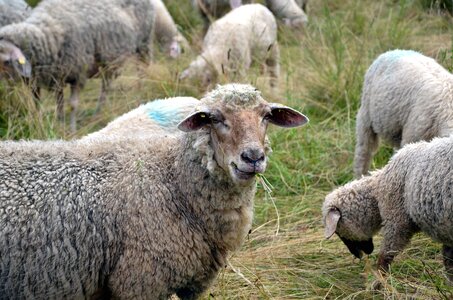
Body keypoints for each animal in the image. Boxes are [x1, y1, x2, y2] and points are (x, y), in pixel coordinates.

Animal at [0, 0, 155, 132]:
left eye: (6, 61)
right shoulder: (52, 77)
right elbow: (51, 105)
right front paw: (56, 124)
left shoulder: (78, 73)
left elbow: (72, 105)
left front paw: (72, 130)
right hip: (108, 61)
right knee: (106, 87)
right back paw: (97, 114)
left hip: (143, 43)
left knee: (142, 71)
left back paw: (141, 93)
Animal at [322, 136, 452, 282]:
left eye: (338, 231)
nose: (358, 255)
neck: (377, 190)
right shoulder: (447, 232)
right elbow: (449, 263)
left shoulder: (396, 222)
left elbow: (384, 259)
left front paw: (379, 284)